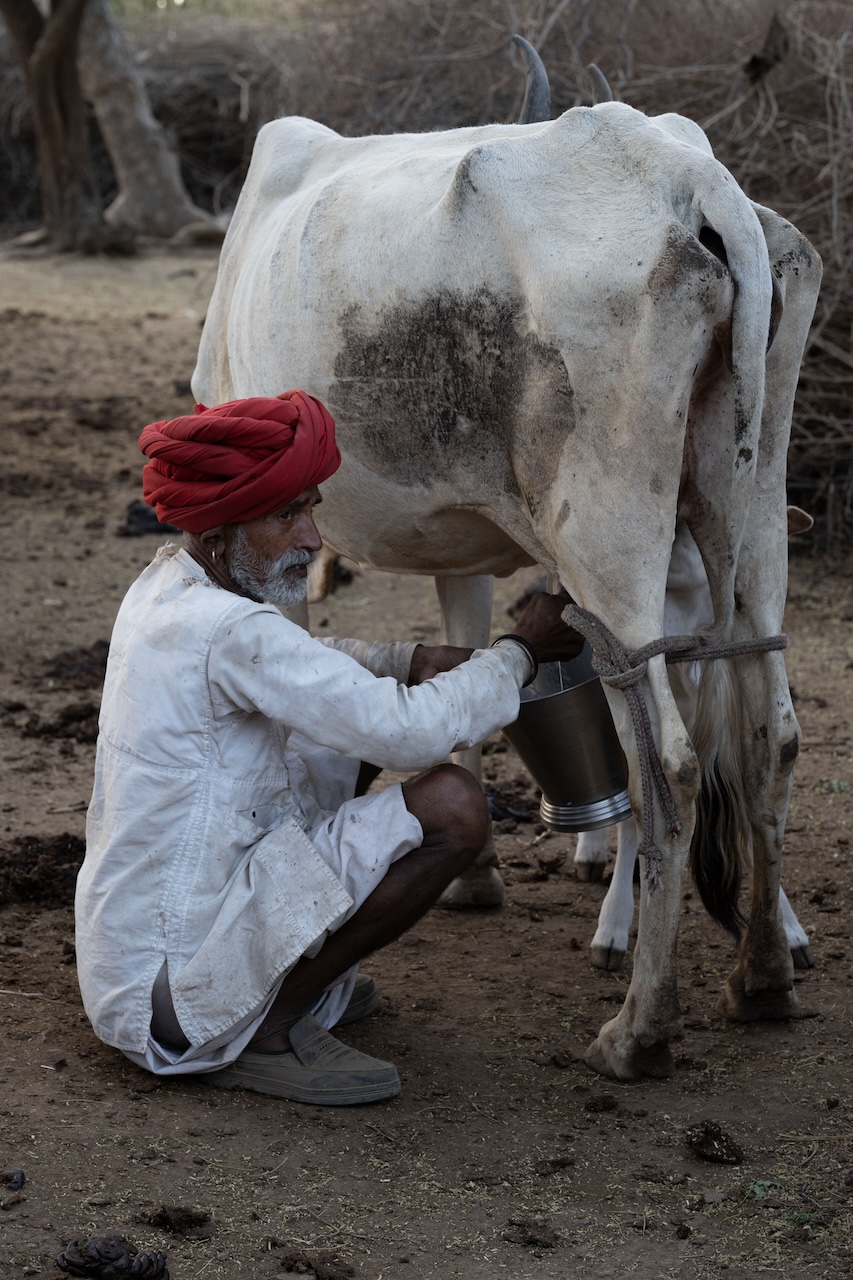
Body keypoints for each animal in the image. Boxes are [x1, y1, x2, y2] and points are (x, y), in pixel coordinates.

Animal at [192, 64, 822, 1079]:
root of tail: (690, 178)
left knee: (670, 766)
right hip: (756, 516)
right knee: (770, 732)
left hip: (607, 538)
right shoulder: (464, 545)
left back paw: (640, 1027)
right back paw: (761, 976)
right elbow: (455, 651)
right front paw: (480, 870)